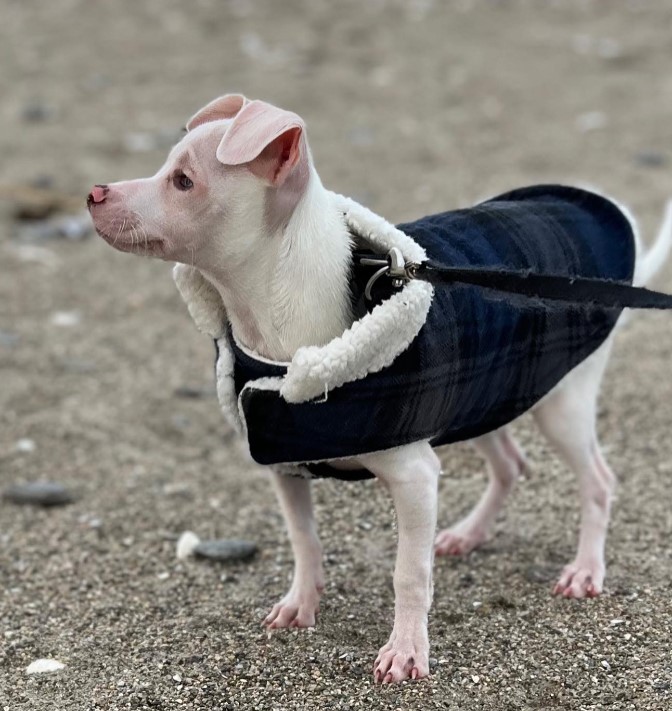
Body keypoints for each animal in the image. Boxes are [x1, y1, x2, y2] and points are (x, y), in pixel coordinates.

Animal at [88, 94, 672, 684]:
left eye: (184, 181)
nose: (93, 193)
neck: (279, 335)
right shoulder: (284, 462)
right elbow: (304, 540)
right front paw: (302, 603)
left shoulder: (414, 477)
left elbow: (408, 572)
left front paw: (407, 650)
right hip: (484, 396)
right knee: (510, 463)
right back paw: (469, 534)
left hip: (561, 402)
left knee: (598, 481)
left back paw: (585, 569)